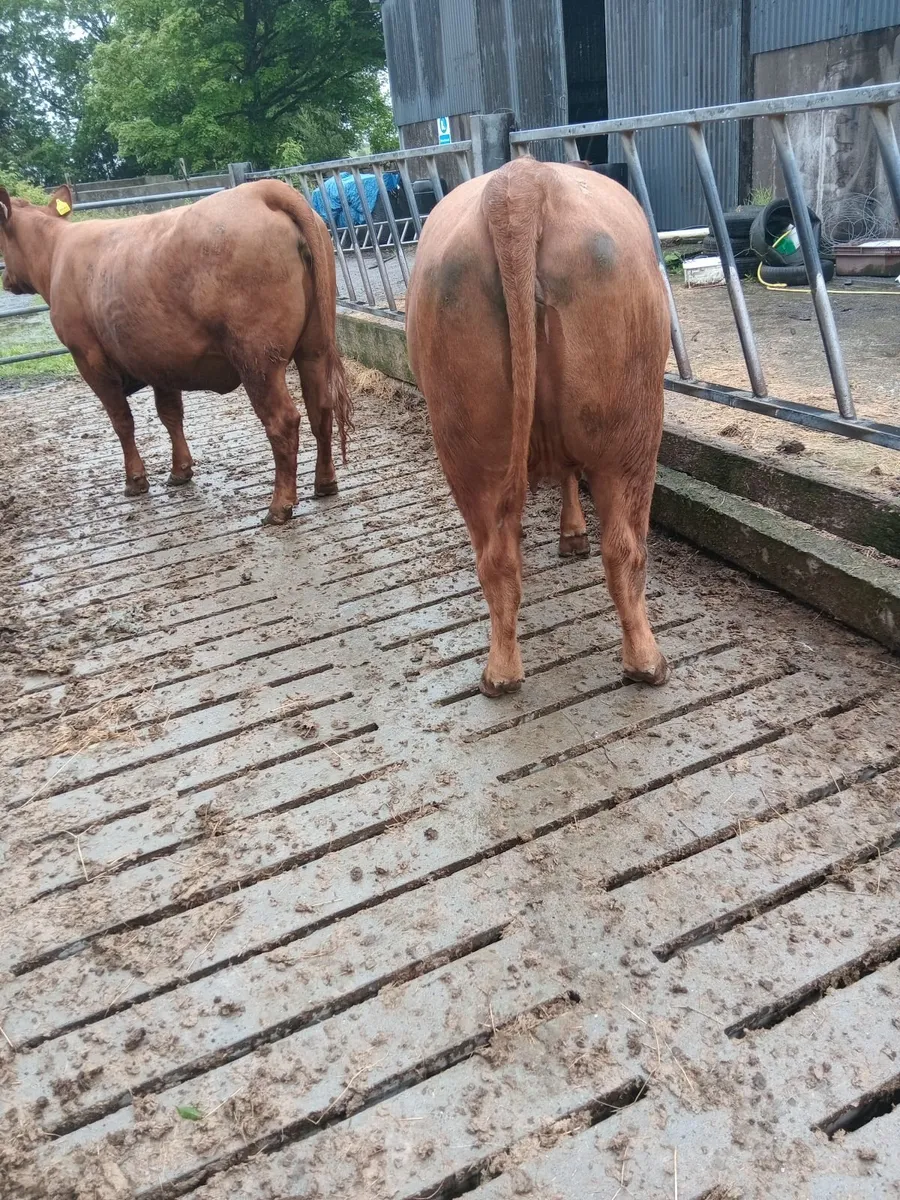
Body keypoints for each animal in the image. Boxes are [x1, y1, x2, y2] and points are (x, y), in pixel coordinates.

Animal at [0, 181, 351, 524]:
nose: (6, 279)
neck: (57, 251)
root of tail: (262, 189)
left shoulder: (88, 357)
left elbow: (121, 421)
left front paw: (135, 481)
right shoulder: (158, 358)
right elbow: (170, 413)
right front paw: (180, 470)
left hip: (258, 359)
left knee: (283, 421)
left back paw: (279, 506)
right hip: (314, 348)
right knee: (321, 409)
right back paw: (325, 483)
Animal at [406, 155, 669, 697]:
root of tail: (521, 180)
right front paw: (573, 534)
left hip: (467, 439)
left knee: (496, 556)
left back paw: (501, 672)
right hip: (631, 431)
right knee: (625, 548)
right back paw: (647, 662)